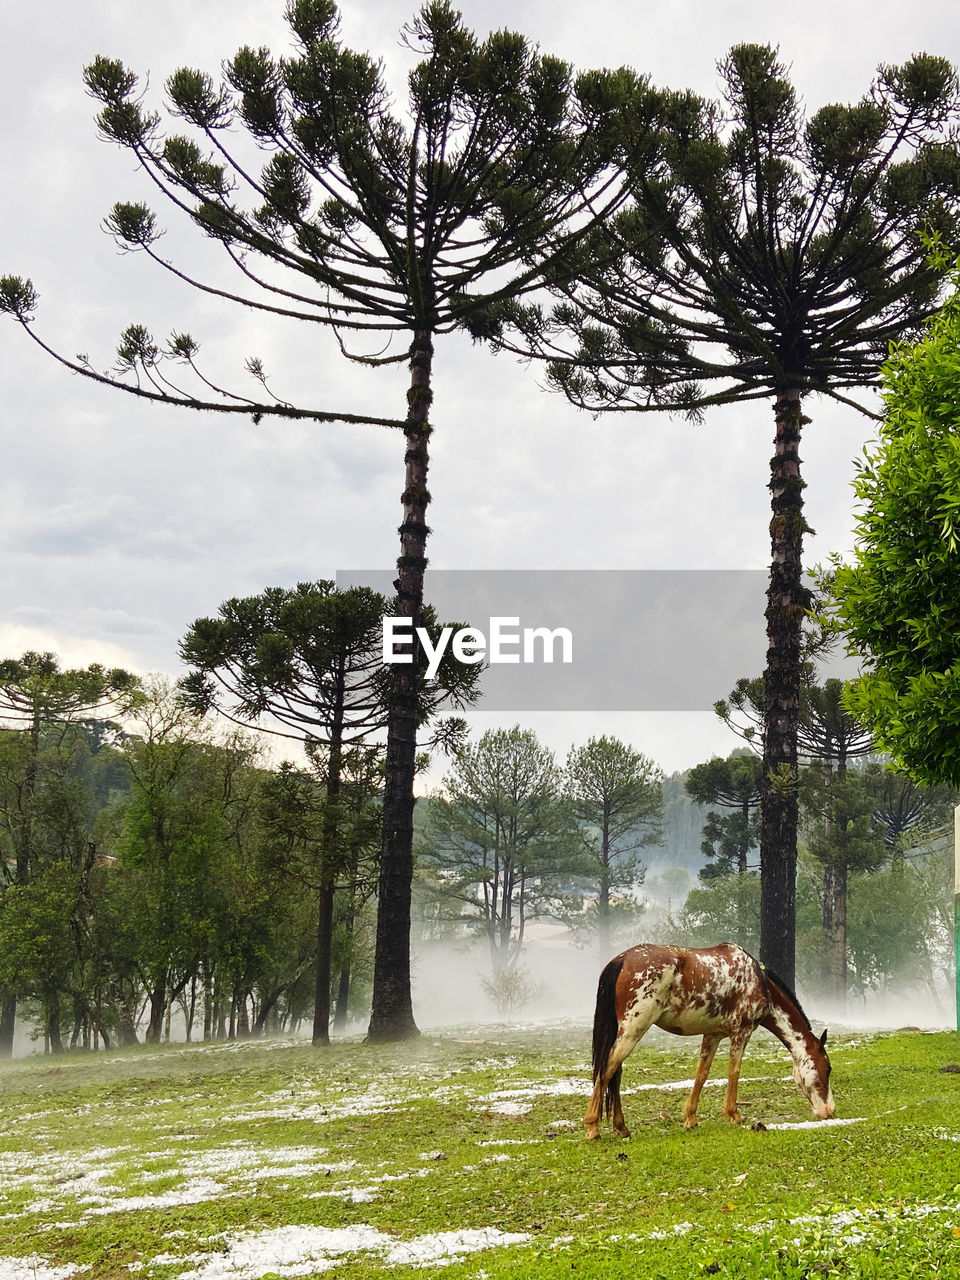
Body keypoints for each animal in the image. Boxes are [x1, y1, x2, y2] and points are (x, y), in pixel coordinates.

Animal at [586, 942, 834, 1141]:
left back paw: (621, 1127)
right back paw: (592, 1128)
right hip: (633, 1030)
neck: (759, 981)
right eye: (827, 1068)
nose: (829, 1110)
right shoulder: (741, 1032)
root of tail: (622, 959)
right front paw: (734, 1115)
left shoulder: (712, 1035)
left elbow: (701, 1074)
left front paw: (690, 1118)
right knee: (606, 1070)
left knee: (615, 1074)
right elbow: (734, 1071)